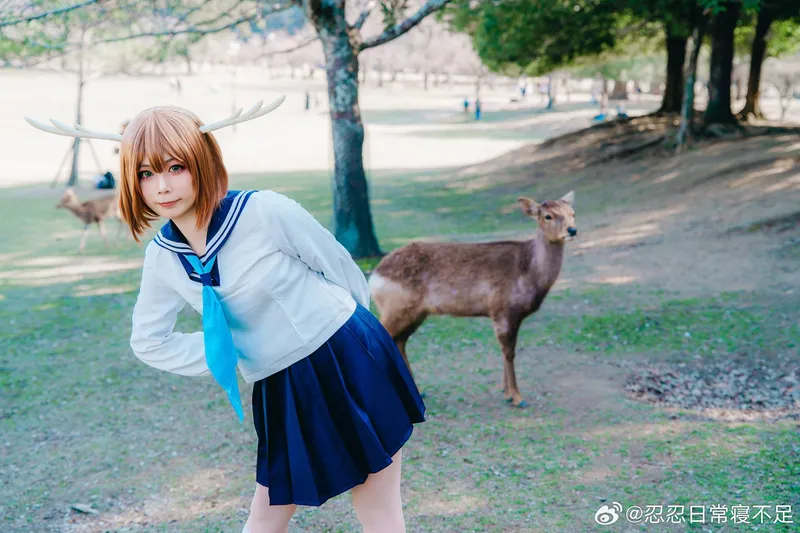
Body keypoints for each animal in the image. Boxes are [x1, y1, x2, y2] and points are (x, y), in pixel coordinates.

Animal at [368, 190, 577, 408]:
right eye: (548, 216)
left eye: (573, 213)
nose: (572, 230)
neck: (529, 273)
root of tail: (374, 277)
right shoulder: (502, 309)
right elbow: (509, 352)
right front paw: (517, 397)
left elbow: (506, 351)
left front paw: (506, 393)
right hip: (397, 307)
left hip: (415, 313)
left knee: (399, 341)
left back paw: (418, 391)